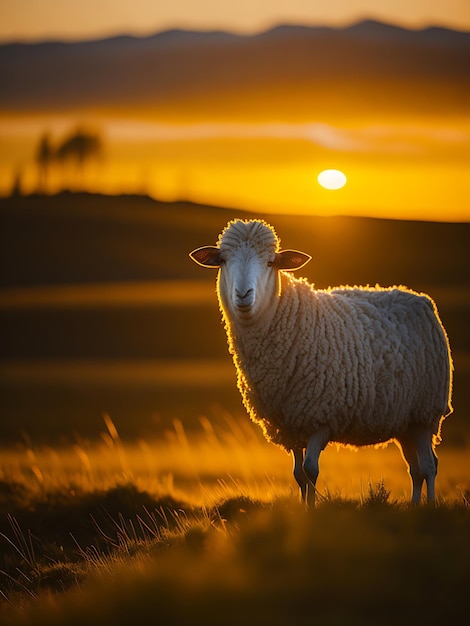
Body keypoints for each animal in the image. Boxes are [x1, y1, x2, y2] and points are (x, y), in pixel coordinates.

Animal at [189, 218, 454, 502]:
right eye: (223, 260)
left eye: (271, 262)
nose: (243, 295)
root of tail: (419, 299)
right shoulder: (290, 425)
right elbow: (298, 475)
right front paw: (304, 507)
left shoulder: (320, 416)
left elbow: (311, 470)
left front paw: (314, 509)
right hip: (405, 420)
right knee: (415, 469)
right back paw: (414, 506)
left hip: (426, 412)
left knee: (428, 466)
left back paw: (429, 506)